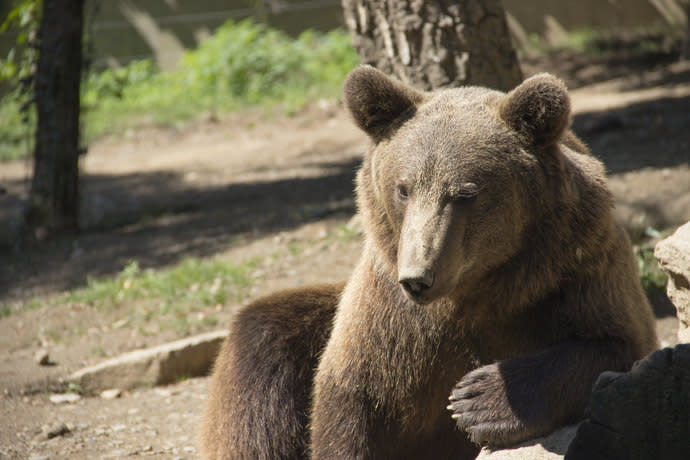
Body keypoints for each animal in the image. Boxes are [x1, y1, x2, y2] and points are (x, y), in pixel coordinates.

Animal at [199, 65, 656, 460]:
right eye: (403, 188)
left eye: (466, 192)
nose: (419, 277)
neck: (476, 288)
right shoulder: (387, 311)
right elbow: (353, 396)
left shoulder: (573, 267)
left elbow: (615, 344)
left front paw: (477, 398)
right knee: (262, 346)